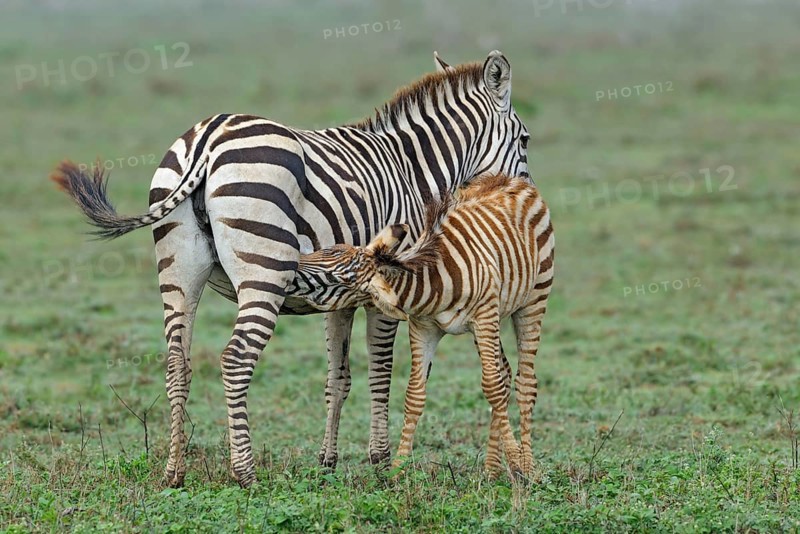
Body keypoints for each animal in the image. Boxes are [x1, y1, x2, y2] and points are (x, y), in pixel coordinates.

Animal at [287, 174, 555, 477]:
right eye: (330, 249)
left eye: (335, 280)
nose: (291, 265)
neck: (435, 281)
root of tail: (508, 180)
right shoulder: (423, 328)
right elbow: (414, 395)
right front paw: (397, 470)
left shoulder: (484, 315)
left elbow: (492, 387)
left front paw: (517, 461)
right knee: (506, 373)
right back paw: (491, 470)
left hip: (533, 301)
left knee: (525, 382)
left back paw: (527, 465)